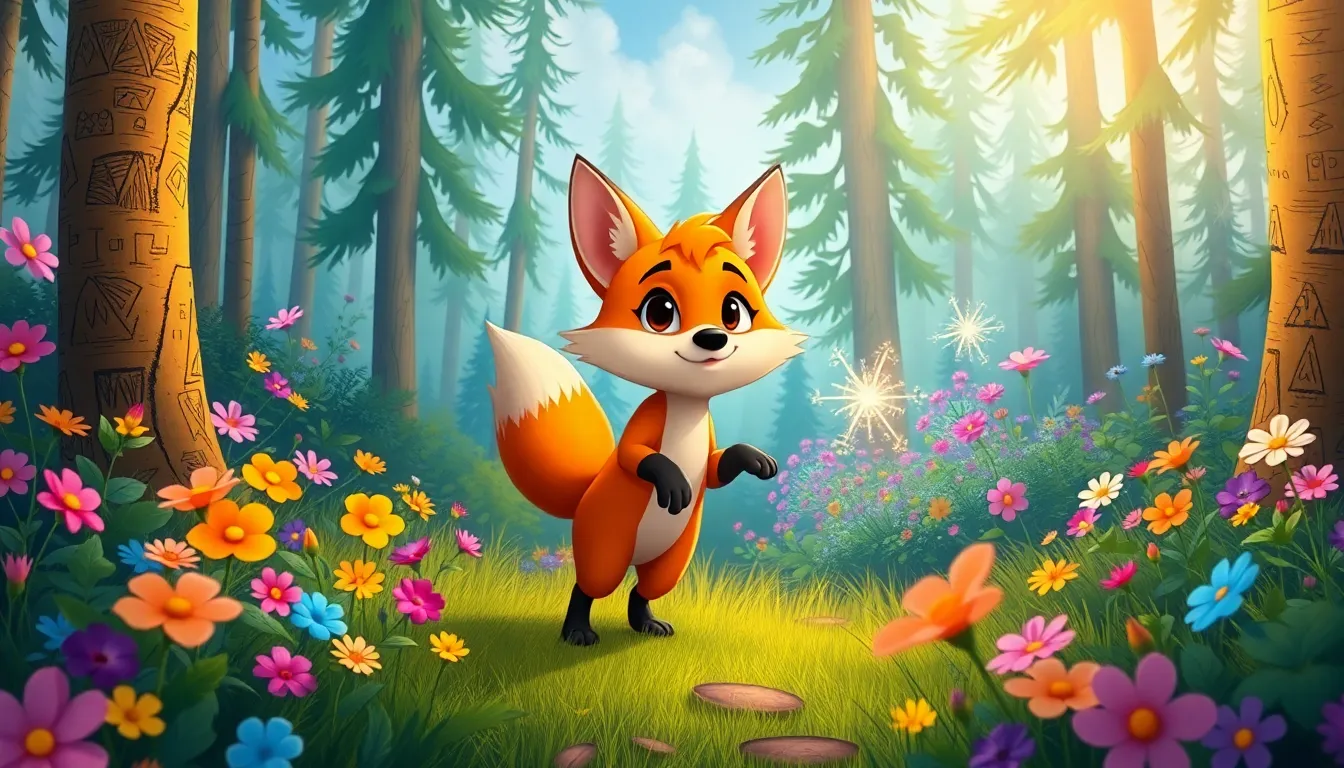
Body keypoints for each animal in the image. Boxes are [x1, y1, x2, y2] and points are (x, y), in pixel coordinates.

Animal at [485, 155, 807, 646]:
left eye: (733, 311)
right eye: (660, 312)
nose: (712, 338)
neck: (686, 408)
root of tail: (583, 494)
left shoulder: (708, 444)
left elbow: (717, 467)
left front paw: (752, 458)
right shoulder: (647, 418)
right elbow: (634, 455)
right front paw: (671, 479)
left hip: (674, 558)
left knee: (643, 589)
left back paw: (647, 623)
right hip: (604, 547)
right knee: (588, 586)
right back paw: (577, 631)